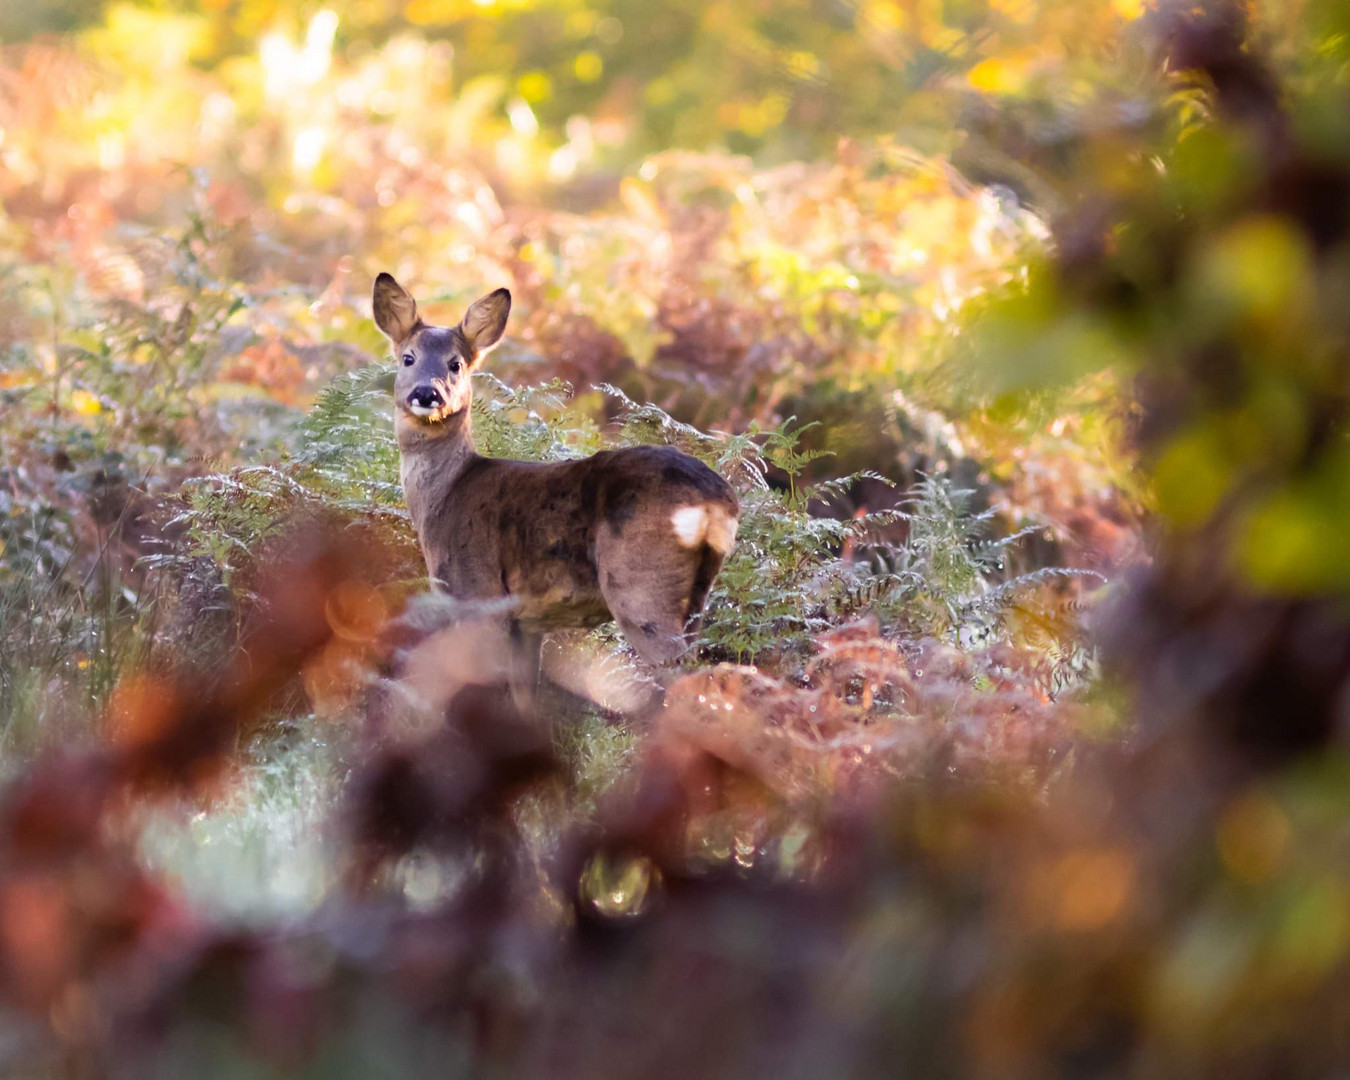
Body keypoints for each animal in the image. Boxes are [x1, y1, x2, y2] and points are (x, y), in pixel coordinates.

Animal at [375, 278, 739, 696]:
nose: (426, 393)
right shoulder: (526, 625)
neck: (445, 495)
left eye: (456, 364)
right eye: (408, 358)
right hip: (696, 594)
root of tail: (716, 503)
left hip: (639, 583)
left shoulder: (479, 594)